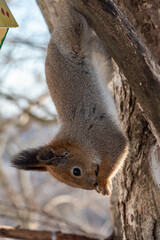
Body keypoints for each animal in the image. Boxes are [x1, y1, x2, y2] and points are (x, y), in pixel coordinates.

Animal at [11, 0, 129, 195]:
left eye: (76, 171)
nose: (91, 186)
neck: (80, 140)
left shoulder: (104, 135)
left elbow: (118, 150)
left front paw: (104, 181)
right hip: (101, 58)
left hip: (71, 31)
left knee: (74, 19)